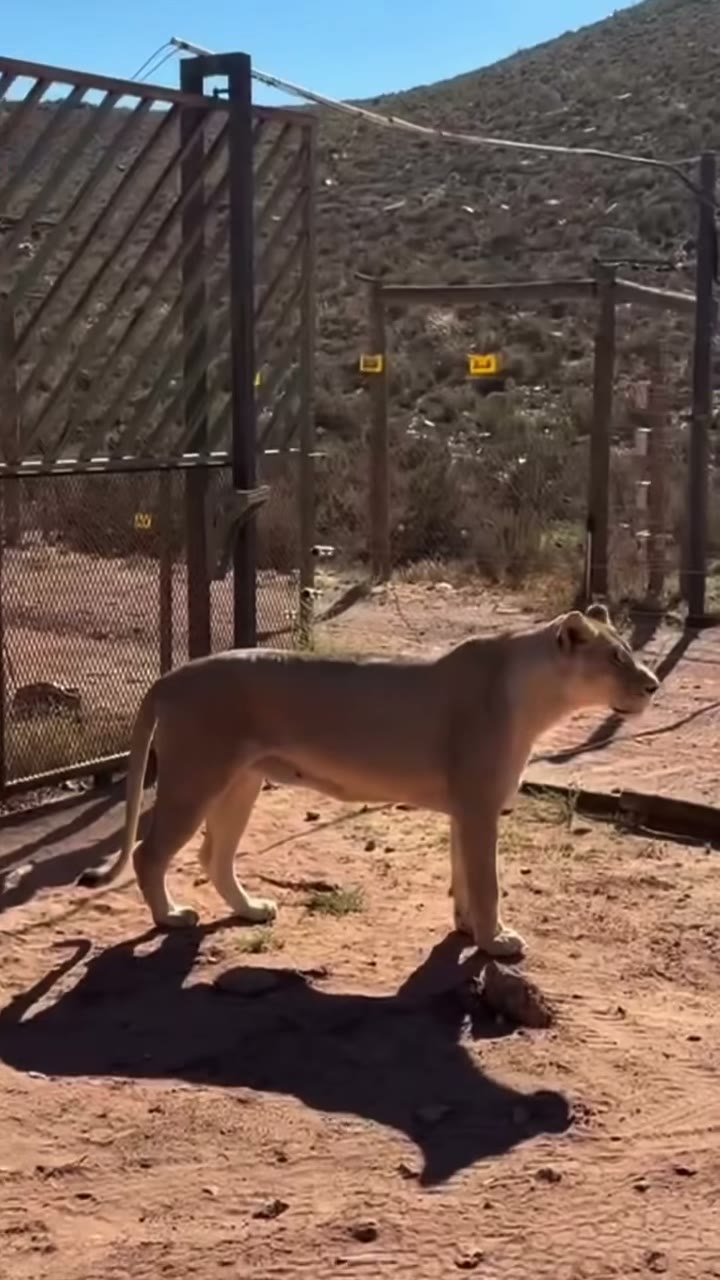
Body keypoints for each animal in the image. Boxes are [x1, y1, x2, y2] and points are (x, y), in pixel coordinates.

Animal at [78, 602, 658, 959]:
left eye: (629, 653)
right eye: (614, 658)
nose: (652, 685)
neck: (537, 695)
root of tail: (168, 676)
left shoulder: (464, 809)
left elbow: (463, 875)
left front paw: (467, 928)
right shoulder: (479, 805)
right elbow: (488, 880)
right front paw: (496, 941)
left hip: (239, 782)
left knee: (213, 856)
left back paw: (251, 910)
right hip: (195, 776)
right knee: (149, 854)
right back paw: (171, 917)